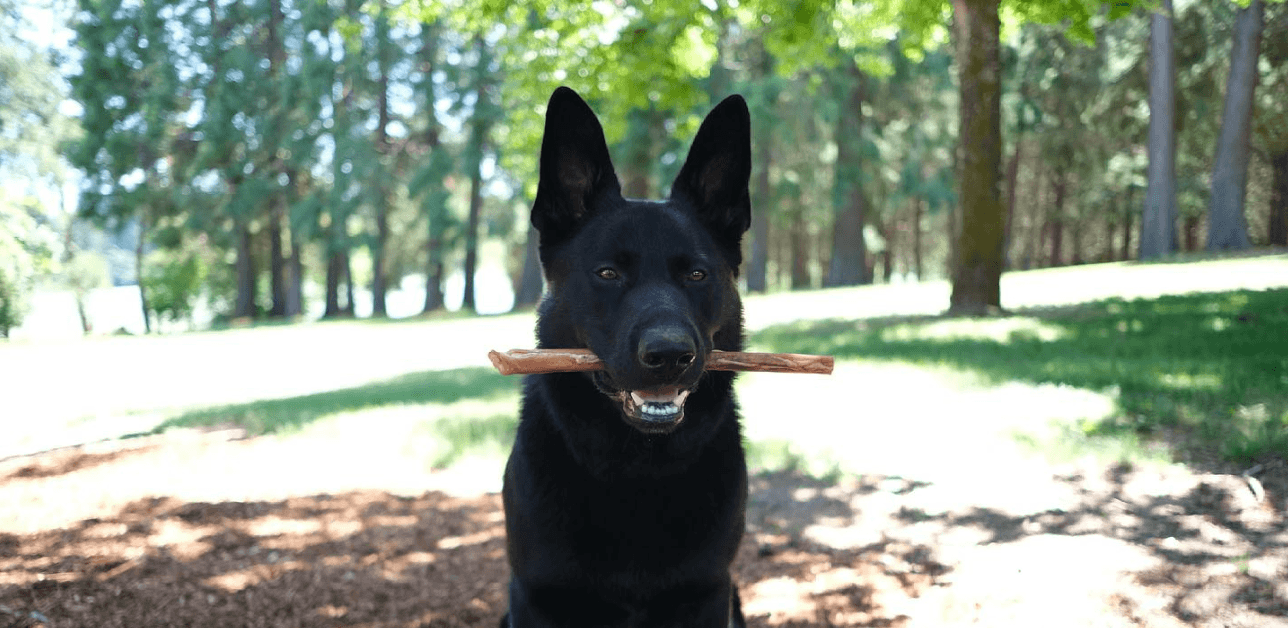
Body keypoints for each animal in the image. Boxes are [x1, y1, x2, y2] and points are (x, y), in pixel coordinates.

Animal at [497, 85, 752, 625]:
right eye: (608, 273)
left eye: (697, 274)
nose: (670, 354)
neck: (636, 470)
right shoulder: (535, 596)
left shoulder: (707, 593)